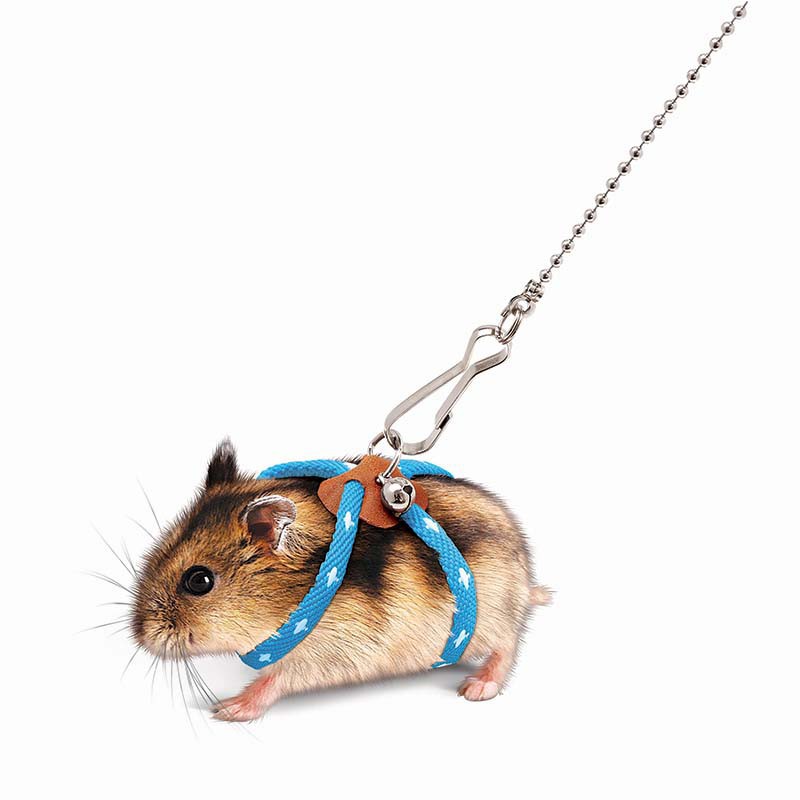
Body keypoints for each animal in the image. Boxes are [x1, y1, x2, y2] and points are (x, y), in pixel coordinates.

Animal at [131, 440, 551, 721]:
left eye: (199, 581)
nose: (139, 635)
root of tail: (525, 579)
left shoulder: (327, 652)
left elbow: (275, 680)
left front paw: (225, 709)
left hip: (496, 616)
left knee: (508, 647)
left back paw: (477, 688)